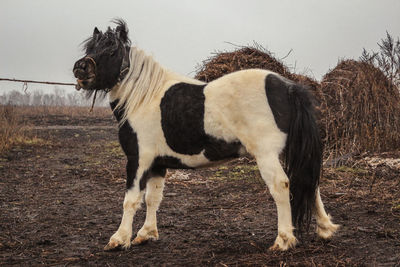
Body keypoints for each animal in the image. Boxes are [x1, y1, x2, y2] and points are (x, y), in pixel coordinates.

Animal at [72, 19, 338, 252]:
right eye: (90, 47)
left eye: (112, 50)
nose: (80, 68)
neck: (143, 97)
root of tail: (289, 87)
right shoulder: (157, 164)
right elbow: (153, 198)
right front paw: (146, 234)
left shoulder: (138, 160)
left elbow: (131, 199)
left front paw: (119, 239)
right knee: (310, 183)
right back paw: (325, 229)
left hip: (266, 155)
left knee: (281, 185)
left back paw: (283, 240)